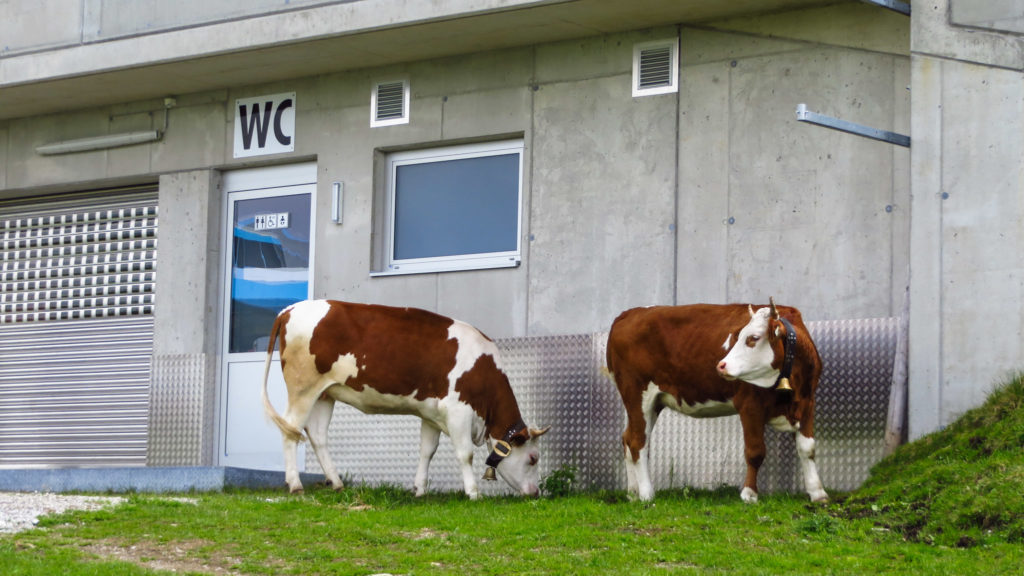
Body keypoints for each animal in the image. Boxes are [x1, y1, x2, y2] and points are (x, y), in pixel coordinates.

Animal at [262, 297, 552, 496]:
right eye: (533, 459)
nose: (536, 493)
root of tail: (288, 310)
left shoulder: (431, 413)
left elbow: (427, 451)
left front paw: (419, 490)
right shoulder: (457, 409)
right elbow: (465, 454)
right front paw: (473, 493)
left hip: (324, 393)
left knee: (317, 434)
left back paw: (337, 482)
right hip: (302, 388)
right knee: (290, 429)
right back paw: (296, 484)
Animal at [602, 297, 827, 500]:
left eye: (753, 338)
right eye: (738, 336)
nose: (721, 365)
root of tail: (629, 314)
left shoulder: (807, 402)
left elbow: (808, 448)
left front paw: (817, 492)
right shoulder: (750, 405)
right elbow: (755, 451)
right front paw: (749, 494)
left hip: (651, 401)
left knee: (628, 437)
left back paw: (633, 493)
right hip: (636, 393)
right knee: (637, 441)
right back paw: (647, 495)